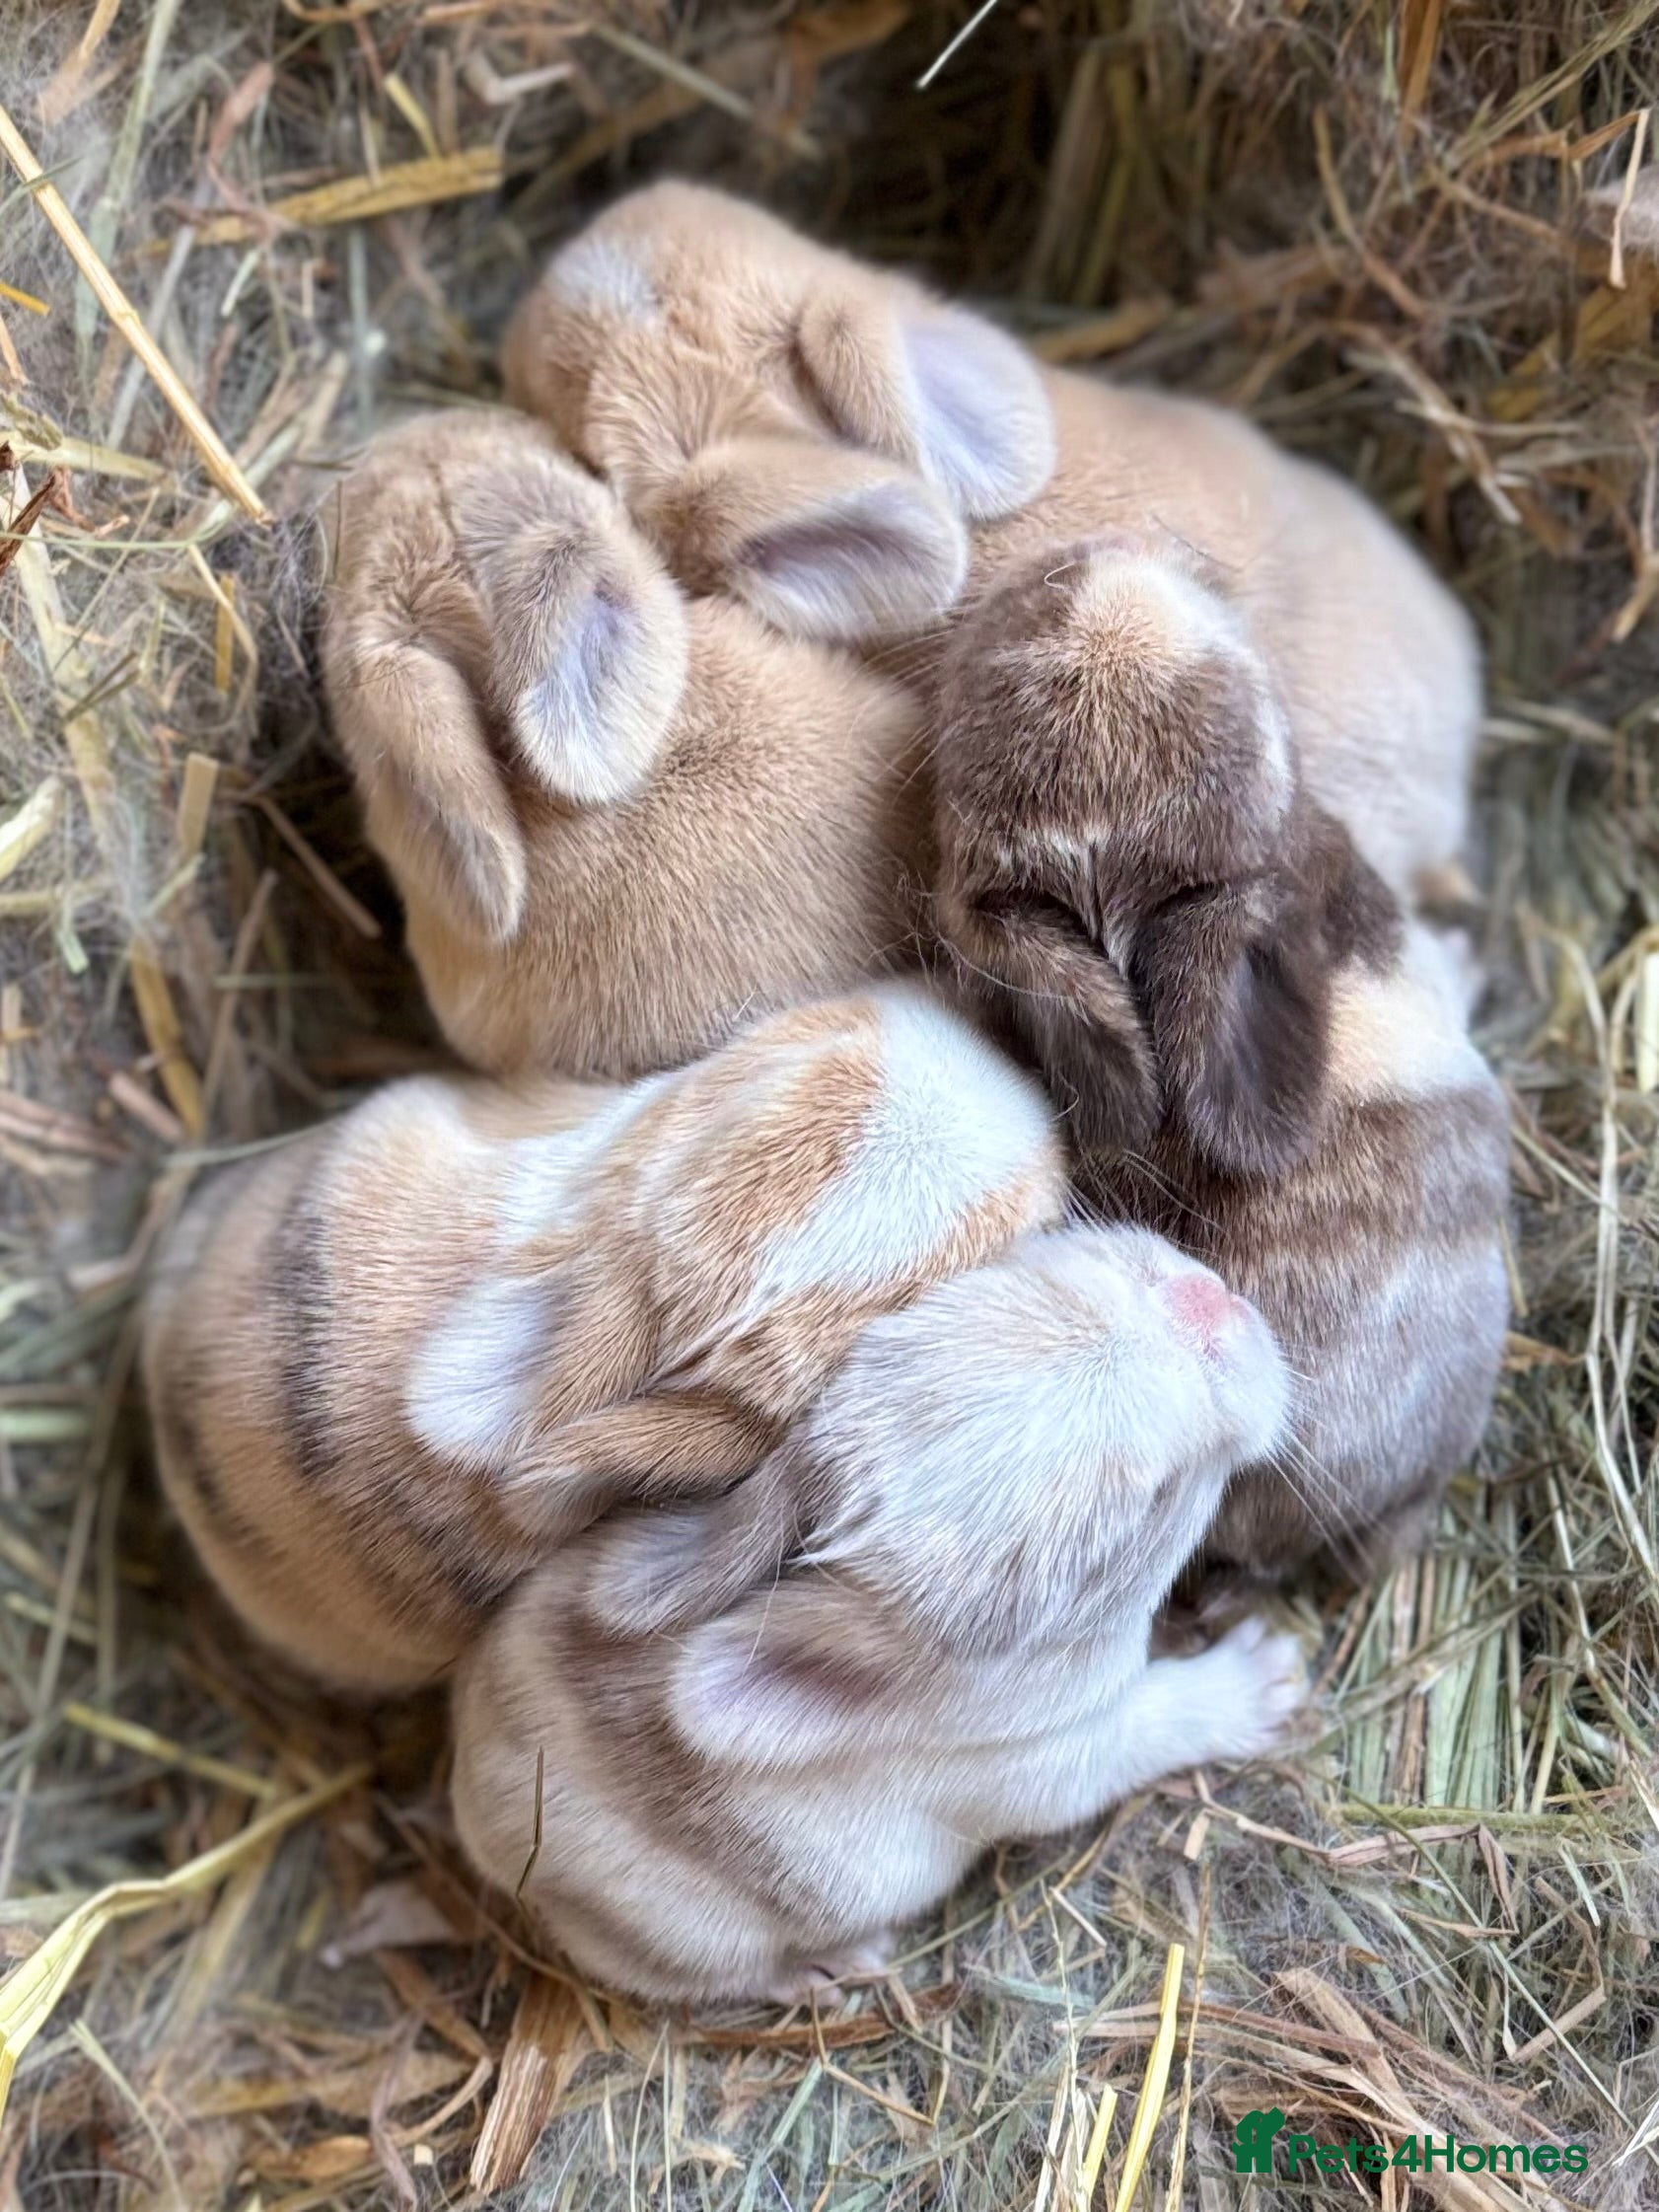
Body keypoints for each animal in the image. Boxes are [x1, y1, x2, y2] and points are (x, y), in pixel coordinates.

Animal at [451, 1220, 1307, 2005]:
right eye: (1151, 1504)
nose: (1209, 1299)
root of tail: (477, 1824)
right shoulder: (1054, 1758)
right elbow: (1156, 1720)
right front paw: (1266, 1678)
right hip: (673, 1940)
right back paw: (830, 1967)